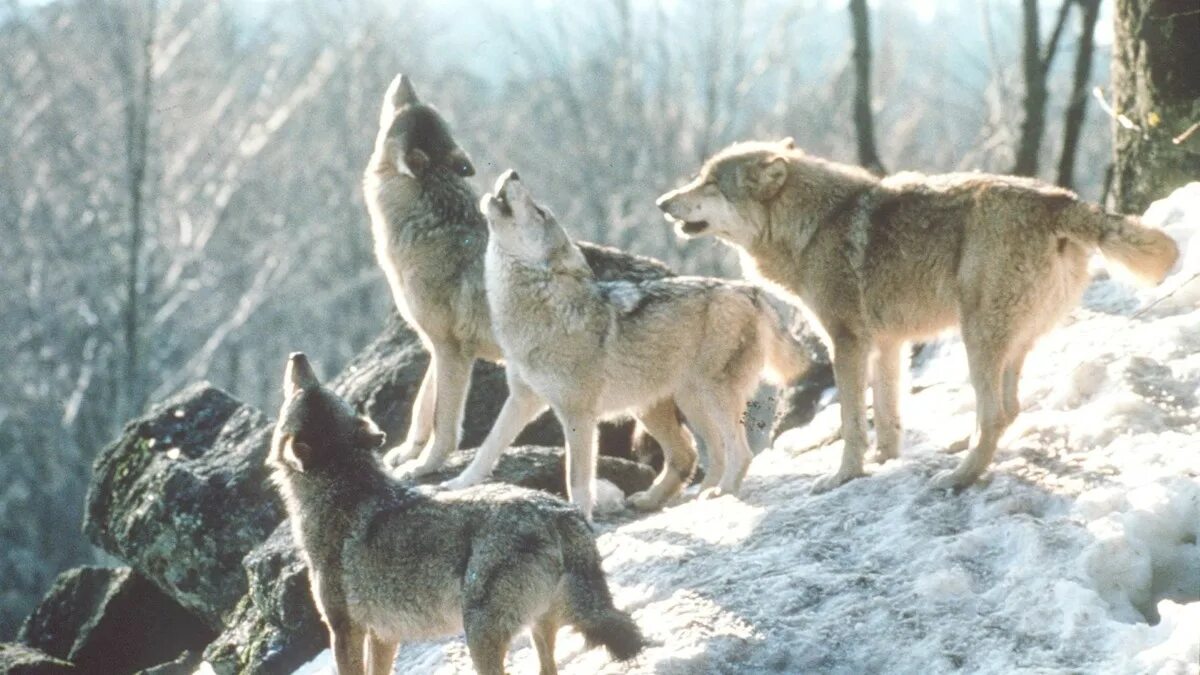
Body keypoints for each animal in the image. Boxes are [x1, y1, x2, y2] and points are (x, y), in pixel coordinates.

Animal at [267, 353, 648, 672]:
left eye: (304, 389)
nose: (297, 356)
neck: (341, 490)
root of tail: (559, 513)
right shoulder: (383, 635)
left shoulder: (345, 631)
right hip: (538, 626)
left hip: (479, 635)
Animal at [362, 74, 676, 487]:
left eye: (404, 107)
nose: (403, 77)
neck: (430, 226)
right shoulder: (435, 346)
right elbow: (421, 407)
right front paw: (406, 454)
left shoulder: (452, 350)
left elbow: (444, 423)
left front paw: (424, 467)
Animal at [477, 169, 806, 521]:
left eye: (539, 212)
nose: (513, 173)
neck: (537, 314)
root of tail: (749, 290)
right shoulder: (521, 400)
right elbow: (486, 451)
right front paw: (457, 486)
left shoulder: (578, 415)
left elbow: (577, 479)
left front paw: (580, 516)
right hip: (670, 405)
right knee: (696, 453)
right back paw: (668, 499)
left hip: (710, 398)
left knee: (737, 453)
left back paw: (720, 493)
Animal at [652, 139, 1176, 492]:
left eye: (710, 183)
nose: (661, 203)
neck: (814, 225)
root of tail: (1059, 199)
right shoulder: (888, 343)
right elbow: (887, 415)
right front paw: (885, 461)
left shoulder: (847, 342)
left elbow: (851, 423)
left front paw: (844, 476)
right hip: (1009, 342)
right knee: (1009, 409)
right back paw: (961, 451)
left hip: (977, 338)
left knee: (994, 413)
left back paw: (959, 477)